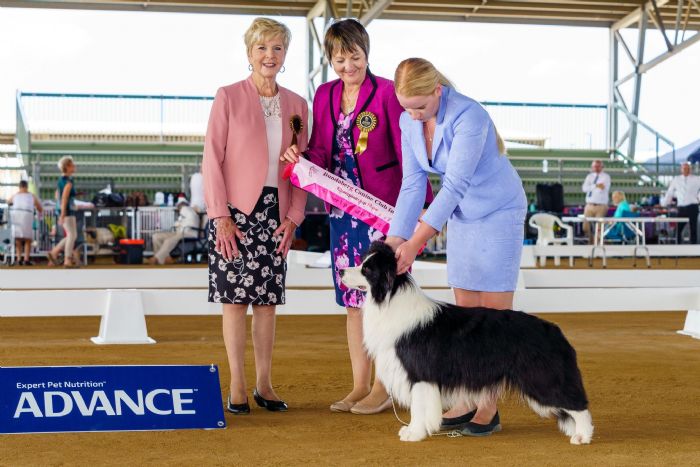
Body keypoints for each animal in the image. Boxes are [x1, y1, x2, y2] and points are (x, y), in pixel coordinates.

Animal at [340, 241, 593, 444]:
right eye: (362, 262)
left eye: (367, 269)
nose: (341, 270)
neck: (389, 299)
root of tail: (554, 330)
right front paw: (416, 431)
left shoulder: (418, 373)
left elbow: (418, 407)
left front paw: (414, 433)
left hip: (541, 377)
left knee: (577, 403)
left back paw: (582, 436)